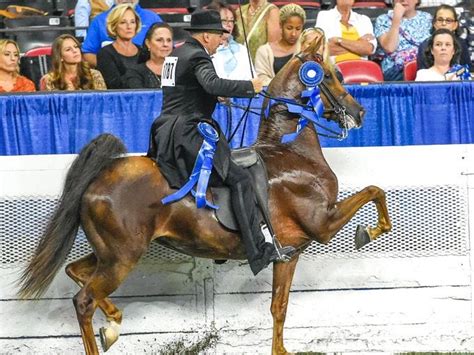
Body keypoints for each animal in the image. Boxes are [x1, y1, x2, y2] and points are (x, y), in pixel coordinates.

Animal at [16, 34, 390, 355]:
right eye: (330, 75)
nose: (359, 114)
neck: (291, 152)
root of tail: (103, 173)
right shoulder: (322, 223)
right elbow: (374, 190)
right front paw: (369, 231)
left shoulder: (291, 252)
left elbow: (278, 306)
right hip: (121, 258)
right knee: (83, 301)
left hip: (108, 254)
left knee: (76, 274)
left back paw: (112, 324)